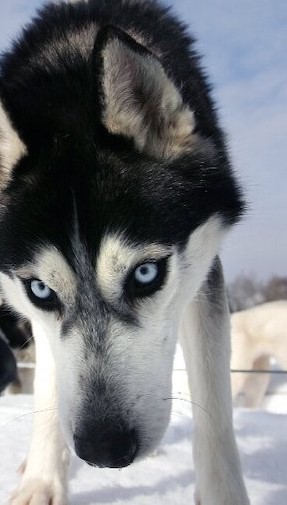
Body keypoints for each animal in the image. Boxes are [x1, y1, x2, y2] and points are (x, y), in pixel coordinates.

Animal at [0, 0, 250, 504]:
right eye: (40, 290)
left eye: (145, 275)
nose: (103, 450)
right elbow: (51, 389)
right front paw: (42, 480)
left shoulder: (203, 280)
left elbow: (214, 401)